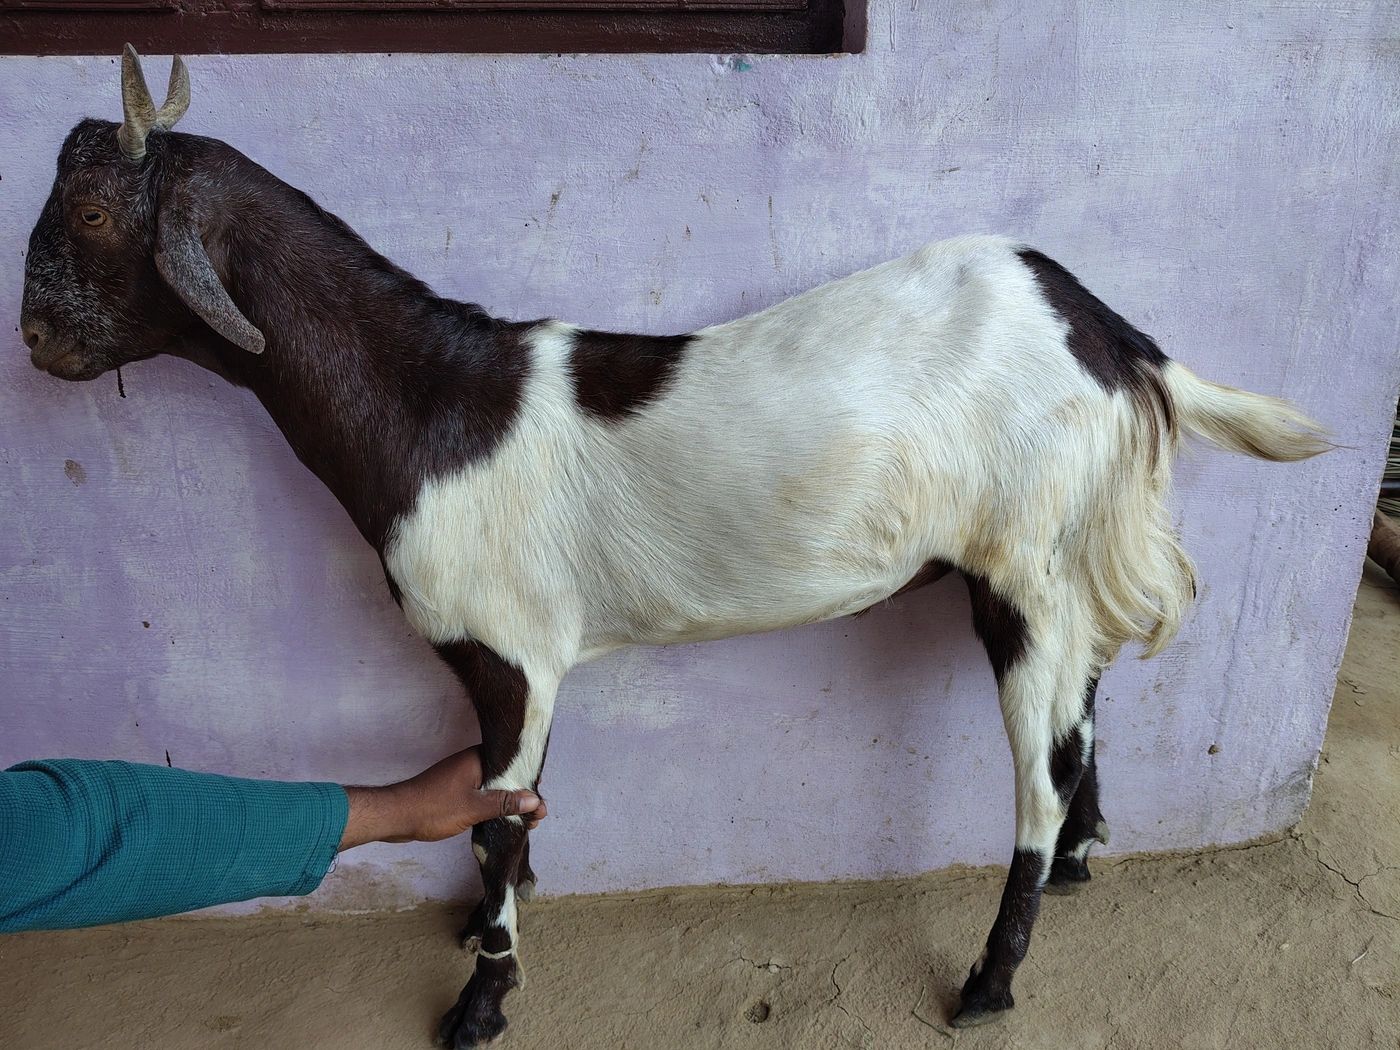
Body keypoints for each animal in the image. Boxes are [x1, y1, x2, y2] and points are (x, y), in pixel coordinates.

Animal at [19, 49, 1330, 1045]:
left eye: (90, 213)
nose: (35, 345)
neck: (435, 401)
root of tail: (1105, 331)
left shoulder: (517, 652)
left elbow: (499, 816)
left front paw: (481, 1002)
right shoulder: (499, 669)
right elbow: (503, 805)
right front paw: (485, 923)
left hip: (1020, 564)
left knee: (1039, 771)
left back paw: (988, 978)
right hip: (1050, 553)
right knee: (1081, 711)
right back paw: (1075, 864)